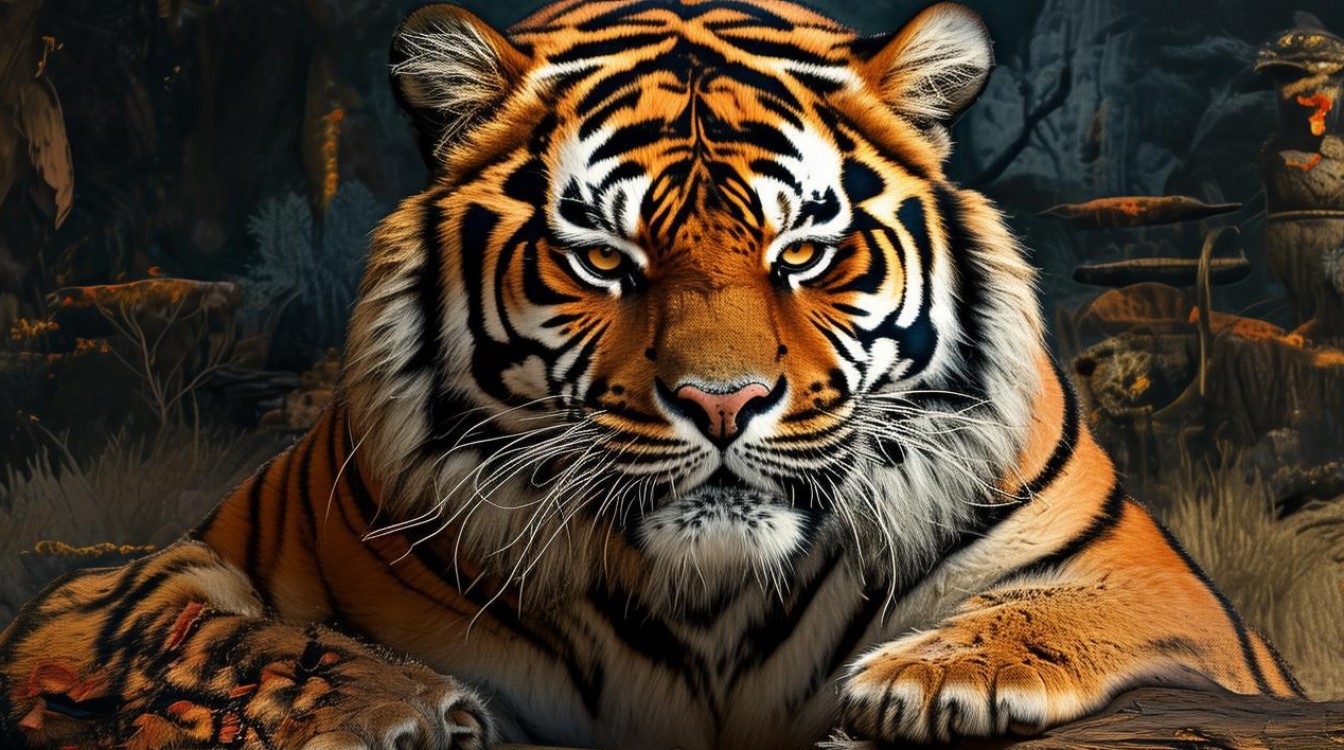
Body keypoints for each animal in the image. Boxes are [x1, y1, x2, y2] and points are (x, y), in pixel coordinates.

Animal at [0, 1, 1303, 749]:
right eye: (602, 258)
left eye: (804, 251)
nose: (723, 405)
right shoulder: (115, 591)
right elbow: (224, 632)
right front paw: (396, 708)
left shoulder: (1170, 597)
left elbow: (1062, 607)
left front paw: (935, 679)